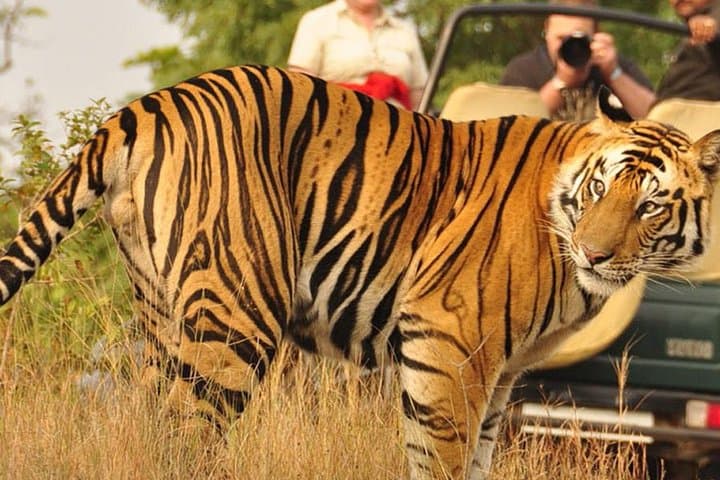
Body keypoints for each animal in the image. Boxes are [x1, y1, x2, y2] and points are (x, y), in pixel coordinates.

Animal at [0, 65, 719, 479]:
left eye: (650, 205)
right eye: (600, 189)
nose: (595, 254)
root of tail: (144, 106)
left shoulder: (499, 375)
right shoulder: (448, 342)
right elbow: (440, 461)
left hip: (160, 317)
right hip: (238, 316)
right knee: (185, 435)